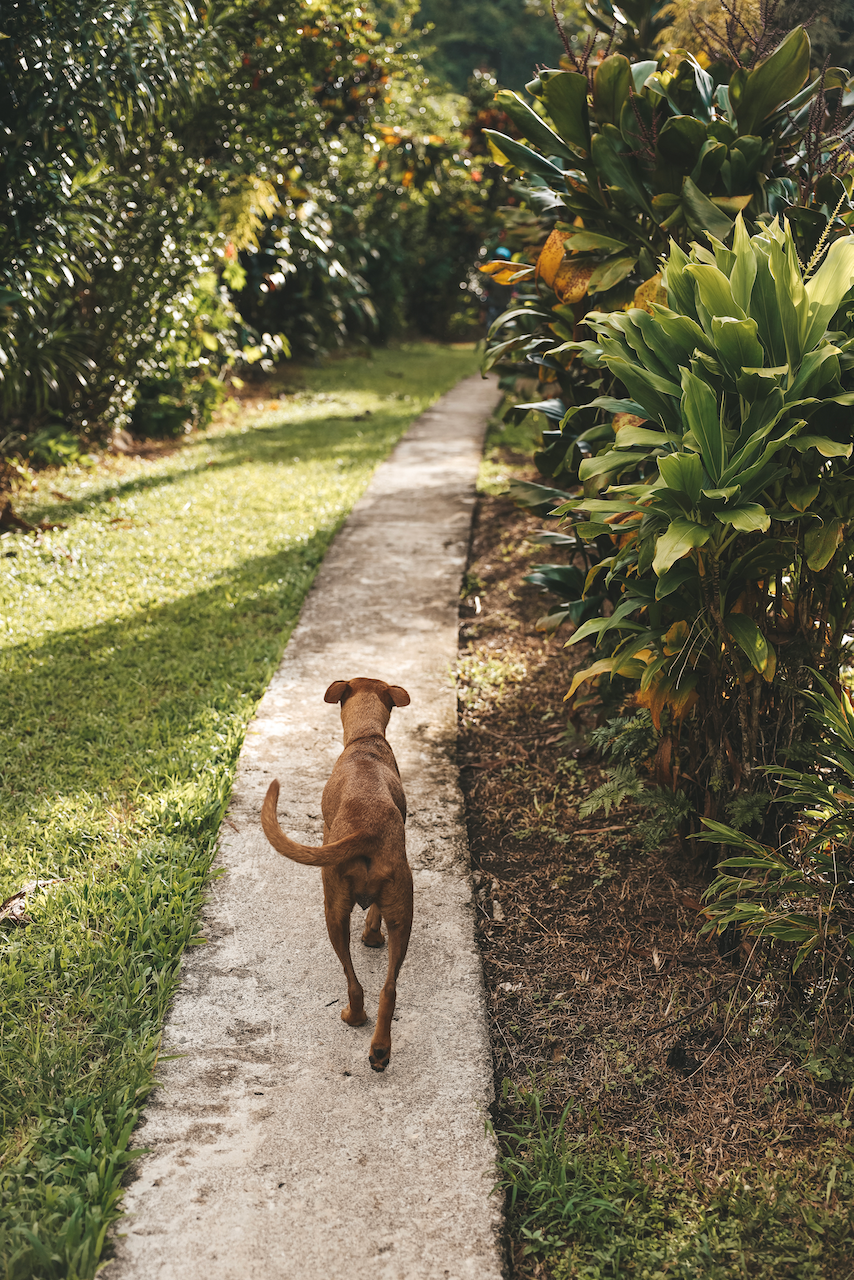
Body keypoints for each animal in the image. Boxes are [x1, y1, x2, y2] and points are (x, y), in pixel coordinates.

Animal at [261, 680, 414, 1070]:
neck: (366, 740)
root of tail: (367, 829)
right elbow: (373, 915)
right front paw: (372, 936)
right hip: (402, 913)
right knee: (389, 989)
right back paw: (380, 1050)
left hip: (332, 910)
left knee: (354, 983)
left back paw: (354, 1017)